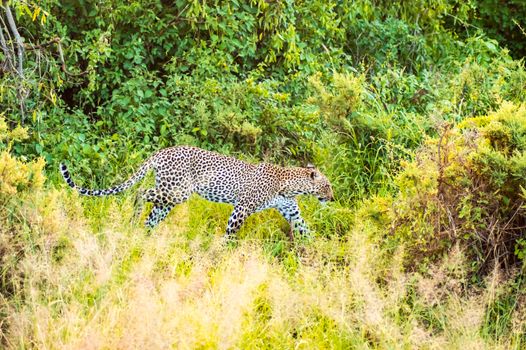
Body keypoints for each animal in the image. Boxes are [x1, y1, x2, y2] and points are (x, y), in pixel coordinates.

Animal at [59, 146, 336, 241]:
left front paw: (321, 252)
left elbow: (305, 229)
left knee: (151, 216)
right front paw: (225, 256)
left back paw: (143, 237)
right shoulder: (241, 208)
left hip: (168, 198)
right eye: (327, 186)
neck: (289, 185)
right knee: (140, 191)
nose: (333, 198)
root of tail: (161, 151)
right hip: (177, 191)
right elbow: (230, 235)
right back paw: (132, 216)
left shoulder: (291, 212)